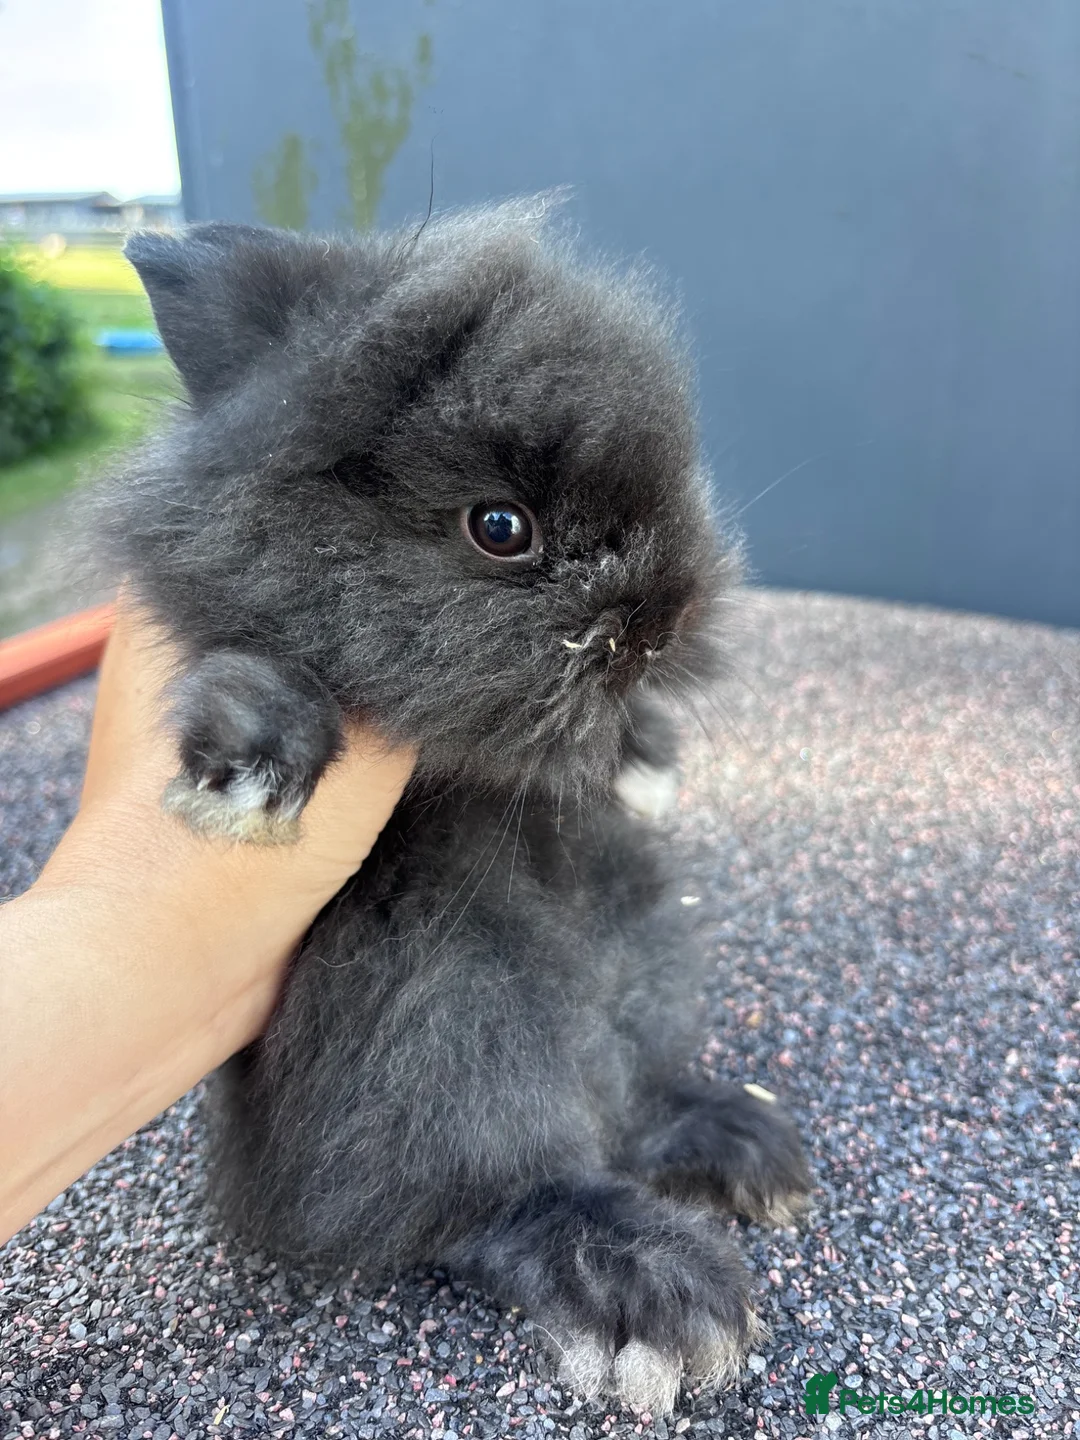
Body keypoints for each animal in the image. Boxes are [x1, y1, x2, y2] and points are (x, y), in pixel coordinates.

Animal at [94, 197, 810, 1415]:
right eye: (501, 528)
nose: (663, 618)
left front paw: (643, 760)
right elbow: (259, 672)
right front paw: (246, 777)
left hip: (637, 958)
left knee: (630, 1100)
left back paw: (739, 1140)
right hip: (447, 1018)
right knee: (498, 1195)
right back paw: (647, 1285)